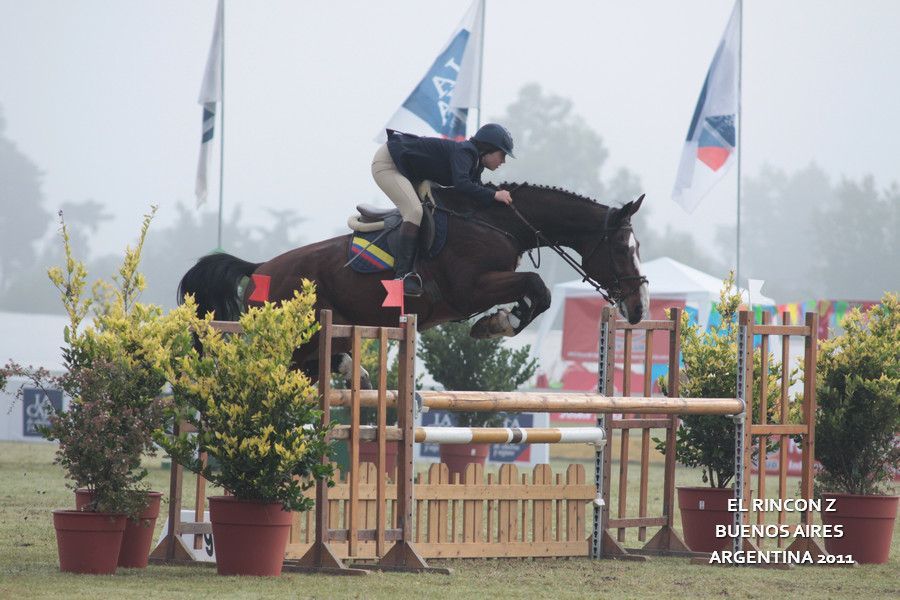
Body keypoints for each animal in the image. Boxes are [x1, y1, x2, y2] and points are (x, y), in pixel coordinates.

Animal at [178, 183, 649, 385]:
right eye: (622, 248)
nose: (640, 306)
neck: (496, 221)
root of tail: (263, 266)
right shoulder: (470, 289)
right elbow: (538, 288)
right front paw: (495, 324)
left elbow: (536, 293)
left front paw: (496, 323)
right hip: (294, 338)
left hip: (325, 334)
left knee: (316, 365)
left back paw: (352, 371)